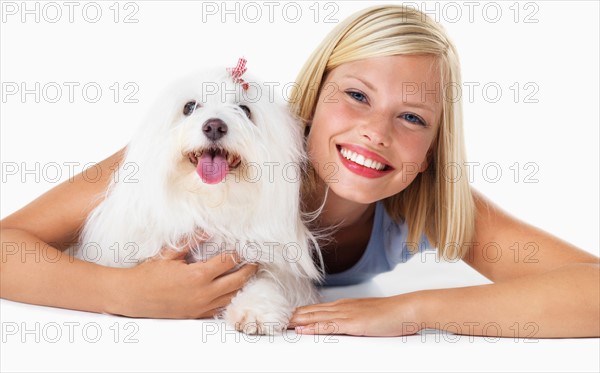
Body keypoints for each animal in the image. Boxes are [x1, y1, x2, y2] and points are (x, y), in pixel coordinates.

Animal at [75, 61, 324, 334]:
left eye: (244, 110)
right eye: (190, 107)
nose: (214, 126)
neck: (209, 204)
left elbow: (265, 279)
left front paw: (256, 310)